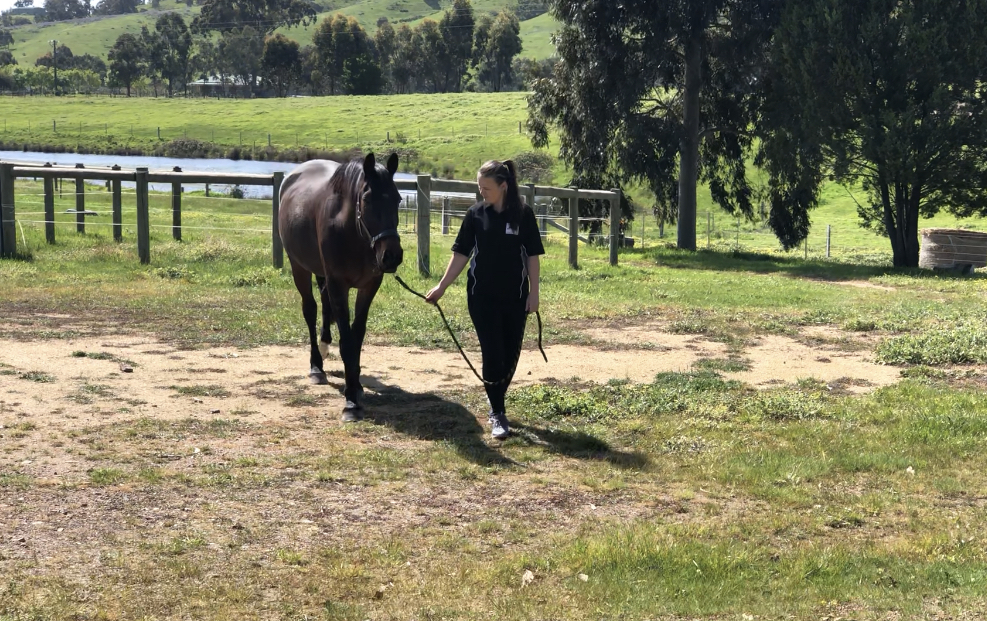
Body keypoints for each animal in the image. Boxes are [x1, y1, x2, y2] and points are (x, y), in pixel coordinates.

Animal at [278, 152, 402, 418]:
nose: (392, 256)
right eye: (367, 199)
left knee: (325, 304)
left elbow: (357, 337)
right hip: (299, 267)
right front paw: (351, 401)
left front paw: (355, 386)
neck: (353, 233)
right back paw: (316, 366)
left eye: (397, 199)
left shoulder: (369, 286)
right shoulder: (339, 284)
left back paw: (325, 347)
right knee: (310, 309)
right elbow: (346, 342)